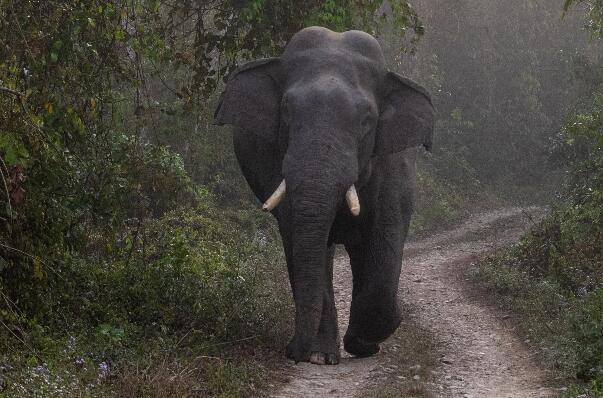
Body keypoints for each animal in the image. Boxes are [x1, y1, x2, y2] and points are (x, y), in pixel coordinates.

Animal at [215, 26, 436, 366]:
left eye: (367, 119)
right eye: (286, 110)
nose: (292, 352)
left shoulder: (392, 163)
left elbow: (386, 231)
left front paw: (370, 337)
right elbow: (299, 234)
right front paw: (320, 354)